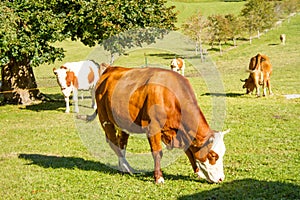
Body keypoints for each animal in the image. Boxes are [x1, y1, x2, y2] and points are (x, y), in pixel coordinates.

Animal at [81, 66, 229, 184]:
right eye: (213, 155)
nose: (221, 178)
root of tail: (111, 69)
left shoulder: (181, 132)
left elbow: (189, 152)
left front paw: (198, 172)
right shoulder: (153, 128)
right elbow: (157, 153)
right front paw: (159, 178)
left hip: (123, 123)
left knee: (121, 143)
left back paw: (123, 167)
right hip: (106, 120)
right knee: (114, 143)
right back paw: (127, 167)